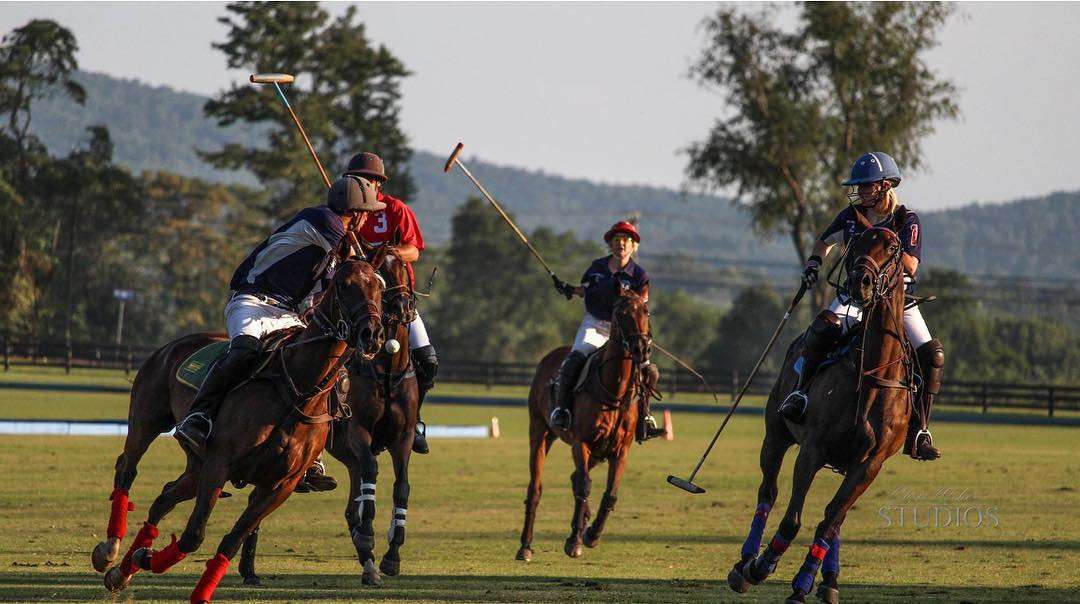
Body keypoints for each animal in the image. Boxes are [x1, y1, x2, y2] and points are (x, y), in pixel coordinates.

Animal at [89, 257, 384, 600]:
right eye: (345, 285)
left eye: (379, 287)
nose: (372, 333)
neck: (297, 389)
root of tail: (172, 344)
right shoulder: (220, 463)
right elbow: (193, 536)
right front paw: (145, 558)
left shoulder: (279, 486)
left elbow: (231, 540)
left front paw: (181, 581)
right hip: (148, 418)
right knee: (127, 467)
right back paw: (109, 550)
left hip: (197, 466)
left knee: (164, 496)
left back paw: (121, 572)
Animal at [237, 243, 421, 587]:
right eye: (383, 275)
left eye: (404, 268)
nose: (403, 308)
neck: (385, 371)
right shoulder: (358, 432)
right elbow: (372, 475)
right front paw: (370, 537)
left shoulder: (402, 438)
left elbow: (401, 487)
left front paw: (391, 555)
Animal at [514, 283, 648, 561]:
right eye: (620, 312)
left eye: (646, 311)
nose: (641, 349)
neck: (615, 390)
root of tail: (551, 355)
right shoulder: (581, 442)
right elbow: (584, 487)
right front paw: (575, 540)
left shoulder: (621, 450)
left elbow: (609, 494)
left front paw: (591, 534)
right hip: (540, 432)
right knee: (537, 488)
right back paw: (525, 546)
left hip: (598, 452)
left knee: (576, 477)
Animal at [730, 226, 915, 604]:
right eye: (857, 241)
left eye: (893, 247)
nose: (860, 282)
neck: (872, 374)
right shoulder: (812, 450)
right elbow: (792, 520)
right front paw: (762, 566)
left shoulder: (869, 465)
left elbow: (829, 522)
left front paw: (803, 585)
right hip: (775, 434)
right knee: (768, 491)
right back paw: (745, 563)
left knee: (835, 520)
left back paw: (828, 580)